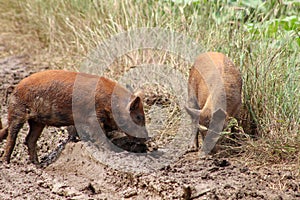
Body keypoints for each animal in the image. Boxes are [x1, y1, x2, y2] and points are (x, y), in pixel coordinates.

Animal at [0, 70, 148, 164]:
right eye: (139, 117)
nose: (147, 138)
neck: (111, 105)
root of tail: (15, 87)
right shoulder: (93, 117)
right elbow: (101, 135)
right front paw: (112, 151)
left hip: (37, 121)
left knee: (30, 139)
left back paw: (36, 164)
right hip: (16, 112)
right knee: (13, 136)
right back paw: (6, 163)